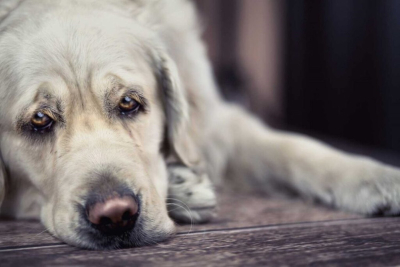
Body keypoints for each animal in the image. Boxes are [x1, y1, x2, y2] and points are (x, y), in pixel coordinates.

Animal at [0, 0, 400, 251]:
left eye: (129, 103)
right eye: (40, 120)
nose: (115, 215)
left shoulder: (216, 125)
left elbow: (294, 147)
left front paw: (375, 176)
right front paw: (183, 187)